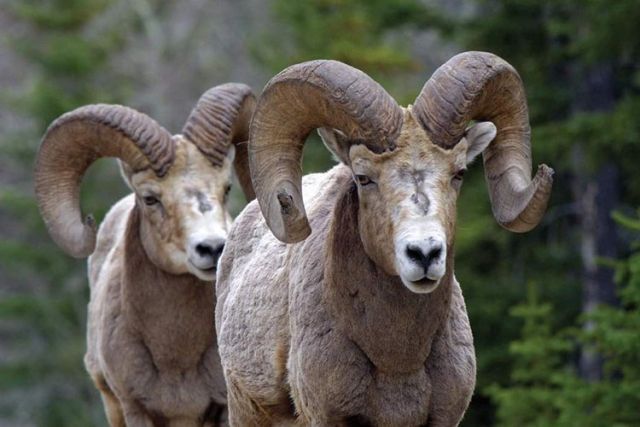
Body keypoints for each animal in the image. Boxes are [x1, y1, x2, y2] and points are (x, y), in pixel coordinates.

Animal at [32, 84, 252, 427]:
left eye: (227, 188)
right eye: (150, 198)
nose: (213, 248)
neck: (176, 358)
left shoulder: (225, 407)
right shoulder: (135, 409)